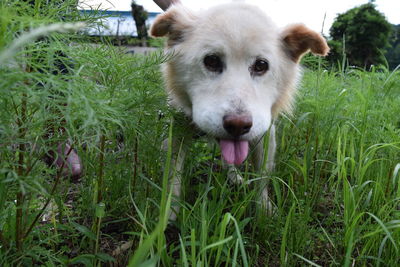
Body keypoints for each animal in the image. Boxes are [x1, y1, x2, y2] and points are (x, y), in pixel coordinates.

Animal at [150, 1, 328, 220]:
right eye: (211, 60)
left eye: (261, 65)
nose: (238, 125)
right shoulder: (176, 131)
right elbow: (172, 176)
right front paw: (169, 214)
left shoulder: (264, 132)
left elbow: (262, 176)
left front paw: (263, 209)